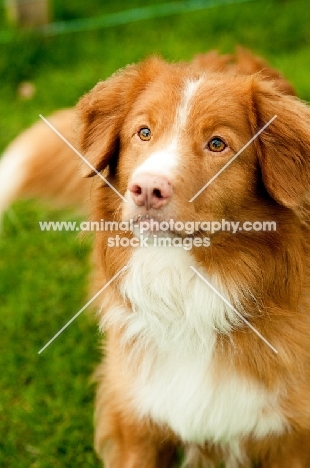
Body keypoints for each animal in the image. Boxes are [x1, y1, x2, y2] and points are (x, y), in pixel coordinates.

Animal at [2, 49, 310, 466]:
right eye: (144, 133)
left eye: (217, 144)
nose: (147, 188)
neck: (185, 293)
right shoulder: (135, 423)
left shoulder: (291, 439)